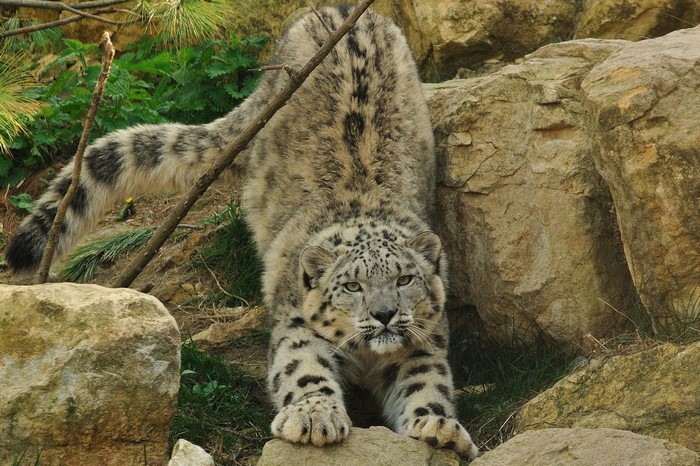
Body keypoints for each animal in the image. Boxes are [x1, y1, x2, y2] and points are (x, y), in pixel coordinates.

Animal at [6, 5, 478, 459]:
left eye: (405, 279)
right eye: (351, 286)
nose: (384, 315)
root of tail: (339, 11)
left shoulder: (423, 341)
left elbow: (427, 381)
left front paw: (438, 426)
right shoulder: (297, 324)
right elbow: (304, 368)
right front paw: (314, 417)